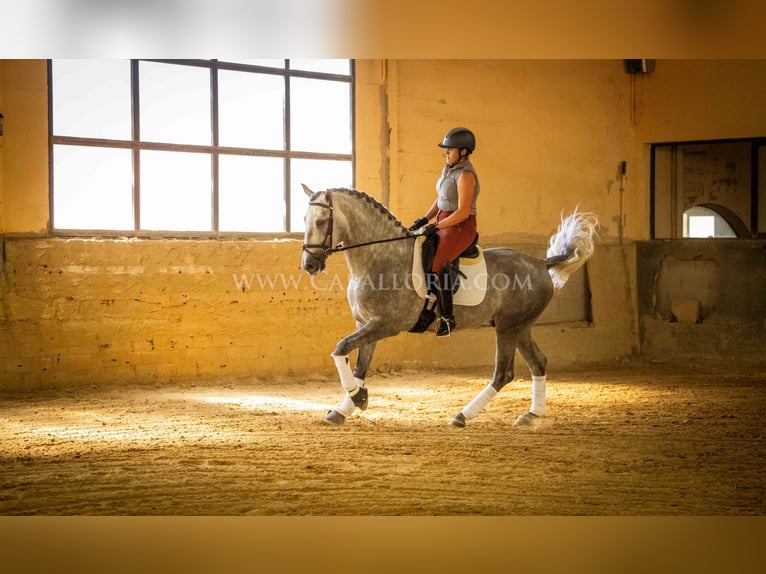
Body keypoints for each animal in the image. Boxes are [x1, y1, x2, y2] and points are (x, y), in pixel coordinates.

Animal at [300, 186, 600, 428]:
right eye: (304, 220)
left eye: (322, 221)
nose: (309, 265)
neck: (380, 257)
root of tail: (540, 264)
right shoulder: (366, 324)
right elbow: (359, 367)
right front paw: (345, 408)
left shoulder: (385, 325)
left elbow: (340, 349)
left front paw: (358, 397)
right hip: (521, 327)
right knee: (538, 363)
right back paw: (532, 415)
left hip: (509, 327)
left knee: (503, 373)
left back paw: (462, 416)